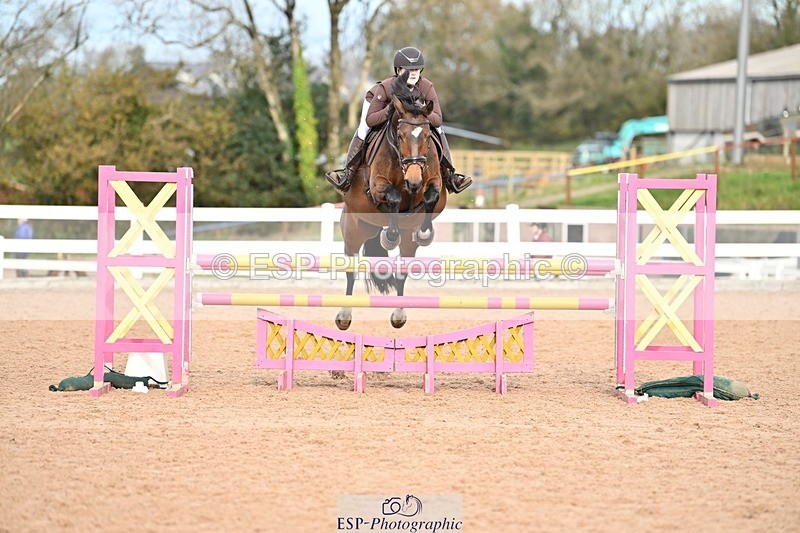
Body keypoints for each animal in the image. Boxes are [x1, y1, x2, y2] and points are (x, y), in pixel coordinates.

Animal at [334, 72, 447, 331]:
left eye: (427, 137)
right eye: (401, 135)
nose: (414, 180)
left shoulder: (434, 183)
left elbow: (430, 197)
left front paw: (424, 232)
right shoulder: (377, 186)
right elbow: (394, 196)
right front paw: (390, 236)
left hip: (406, 244)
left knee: (402, 271)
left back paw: (399, 315)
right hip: (355, 230)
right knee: (351, 270)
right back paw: (344, 315)